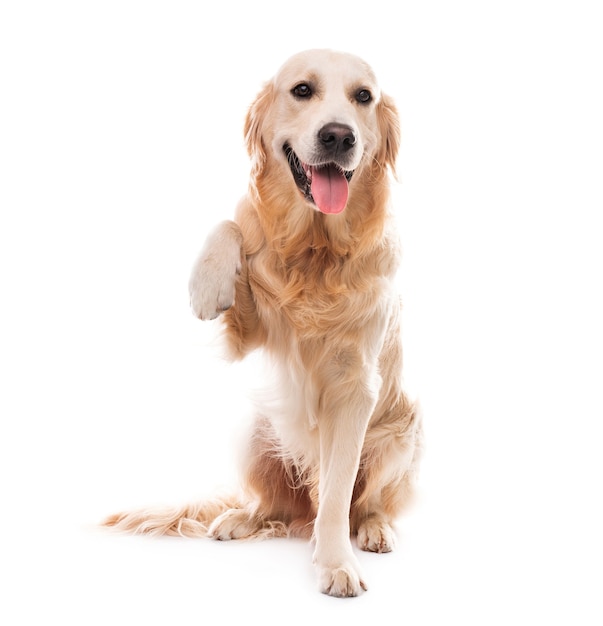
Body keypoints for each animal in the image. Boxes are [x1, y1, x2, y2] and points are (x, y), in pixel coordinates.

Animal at [104, 48, 422, 596]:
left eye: (363, 97)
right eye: (302, 90)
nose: (339, 136)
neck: (315, 249)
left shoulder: (356, 388)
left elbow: (336, 497)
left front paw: (335, 562)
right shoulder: (246, 333)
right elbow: (231, 224)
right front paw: (208, 282)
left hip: (400, 431)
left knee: (360, 503)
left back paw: (374, 529)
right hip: (254, 434)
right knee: (273, 505)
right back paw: (241, 518)